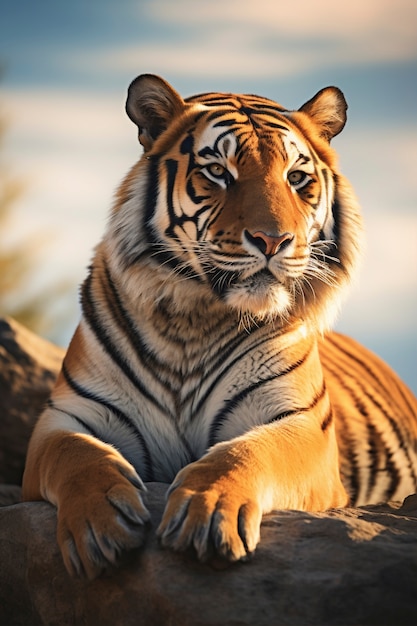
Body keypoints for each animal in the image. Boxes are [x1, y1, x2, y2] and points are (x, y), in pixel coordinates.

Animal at [22, 74, 416, 580]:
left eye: (296, 178)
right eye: (218, 172)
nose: (273, 240)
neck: (194, 319)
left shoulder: (301, 422)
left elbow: (247, 451)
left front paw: (206, 515)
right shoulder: (65, 418)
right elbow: (76, 454)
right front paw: (98, 525)